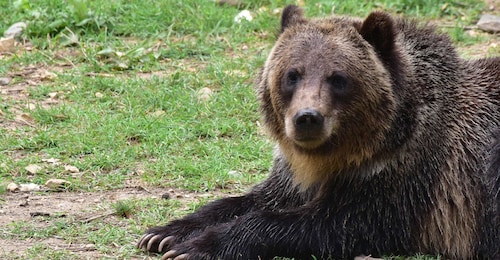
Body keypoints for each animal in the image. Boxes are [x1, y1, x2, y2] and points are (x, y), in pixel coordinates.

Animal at [138, 5, 500, 258]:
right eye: (292, 74)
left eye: (338, 78)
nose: (307, 118)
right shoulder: (295, 174)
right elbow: (251, 198)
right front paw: (165, 233)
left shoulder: (405, 178)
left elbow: (329, 222)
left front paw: (197, 247)